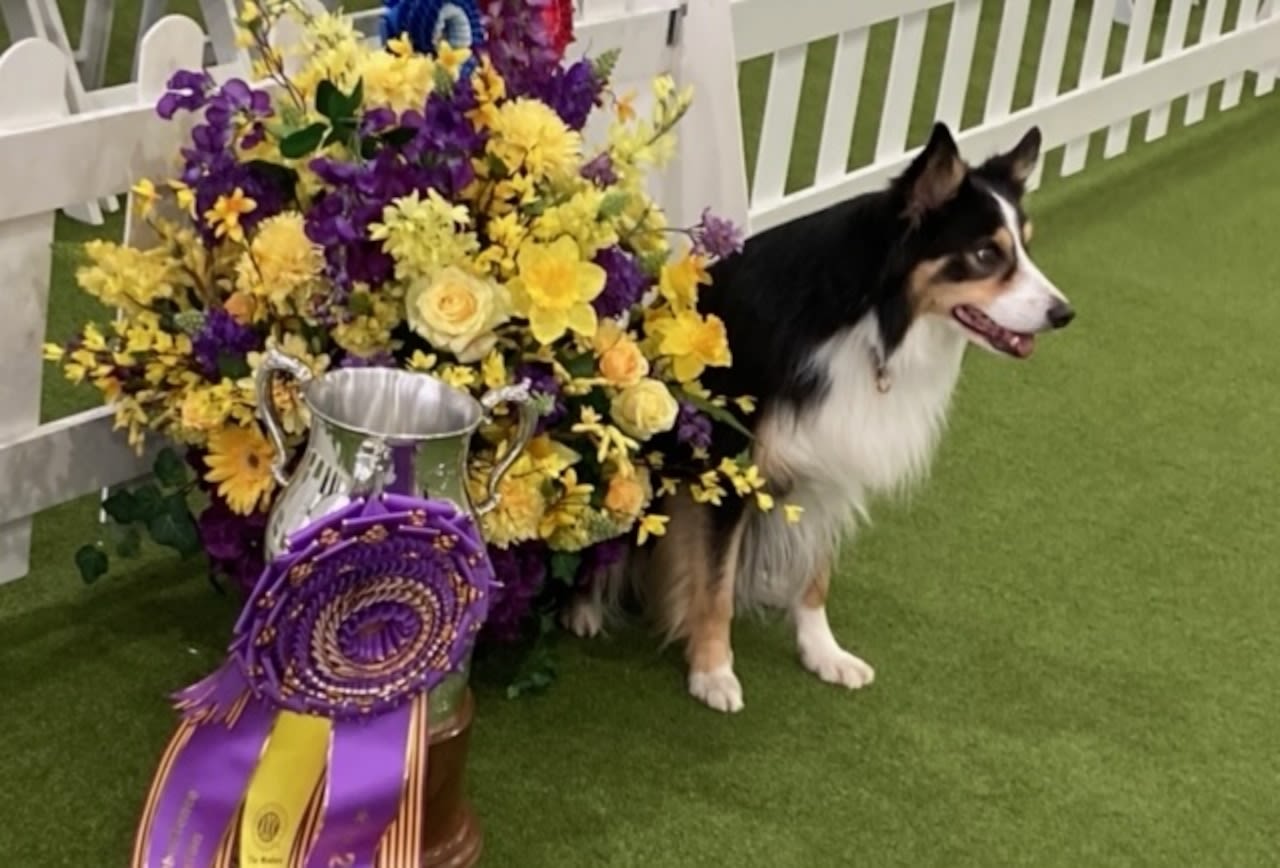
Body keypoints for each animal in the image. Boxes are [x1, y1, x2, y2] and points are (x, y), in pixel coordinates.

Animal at [565, 122, 1075, 711]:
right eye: (985, 253)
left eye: (1026, 247)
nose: (1064, 313)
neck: (871, 317)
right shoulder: (729, 467)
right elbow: (714, 585)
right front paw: (713, 673)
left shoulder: (836, 452)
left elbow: (815, 574)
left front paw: (822, 653)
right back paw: (584, 611)